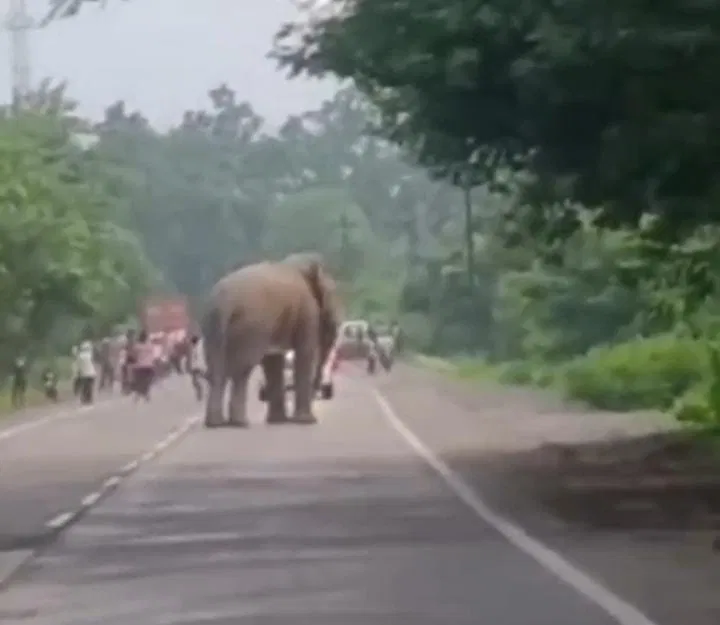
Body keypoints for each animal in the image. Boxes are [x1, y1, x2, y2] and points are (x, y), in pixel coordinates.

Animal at [201, 253, 341, 428]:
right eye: (332, 293)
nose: (318, 392)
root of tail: (224, 302)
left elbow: (272, 360)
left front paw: (278, 421)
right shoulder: (307, 310)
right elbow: (304, 353)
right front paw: (307, 421)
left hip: (211, 325)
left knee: (216, 369)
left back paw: (215, 423)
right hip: (251, 325)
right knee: (242, 369)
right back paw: (240, 422)